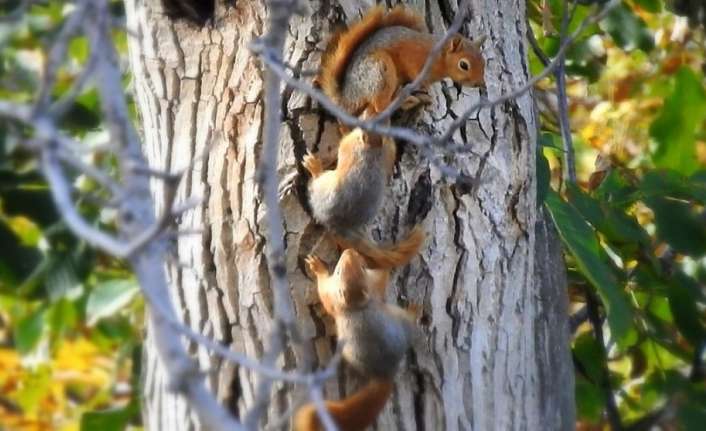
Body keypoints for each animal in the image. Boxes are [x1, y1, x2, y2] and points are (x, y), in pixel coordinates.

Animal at [296, 248, 420, 431]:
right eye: (339, 271)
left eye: (362, 267)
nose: (349, 250)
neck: (355, 304)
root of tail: (386, 372)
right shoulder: (351, 292)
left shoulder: (364, 289)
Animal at [318, 4, 484, 118]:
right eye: (464, 65)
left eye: (484, 63)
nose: (480, 83)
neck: (439, 58)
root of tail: (349, 95)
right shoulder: (415, 58)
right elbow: (414, 72)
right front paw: (425, 87)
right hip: (379, 70)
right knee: (380, 106)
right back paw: (403, 100)